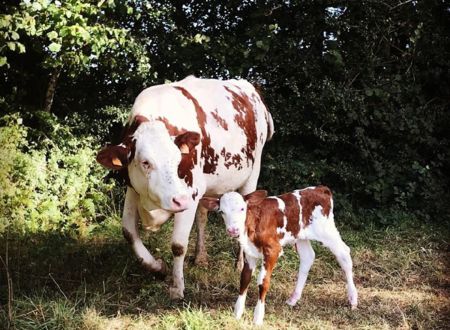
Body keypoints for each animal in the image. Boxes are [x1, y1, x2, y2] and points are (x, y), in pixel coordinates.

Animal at [96, 76, 272, 300]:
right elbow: (129, 233)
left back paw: (241, 263)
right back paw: (200, 257)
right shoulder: (134, 189)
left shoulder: (189, 195)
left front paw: (178, 286)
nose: (177, 200)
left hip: (251, 174)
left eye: (177, 159)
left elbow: (178, 245)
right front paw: (157, 267)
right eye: (145, 163)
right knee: (203, 216)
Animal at [200, 186, 358, 324]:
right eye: (221, 212)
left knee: (344, 254)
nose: (233, 230)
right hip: (300, 236)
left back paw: (353, 299)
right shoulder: (250, 252)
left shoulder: (273, 250)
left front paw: (258, 318)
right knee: (308, 257)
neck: (253, 222)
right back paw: (293, 298)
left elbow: (263, 282)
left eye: (242, 209)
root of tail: (320, 189)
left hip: (327, 231)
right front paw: (237, 313)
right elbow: (244, 278)